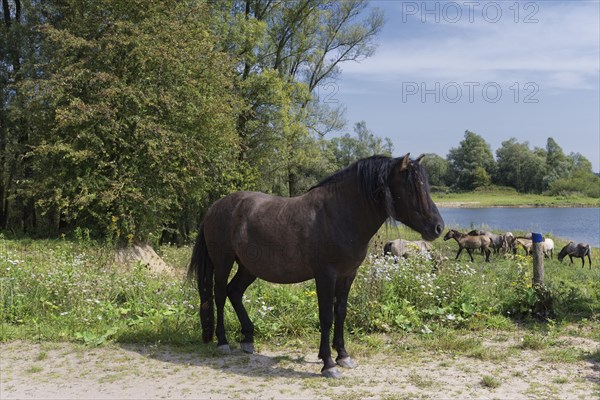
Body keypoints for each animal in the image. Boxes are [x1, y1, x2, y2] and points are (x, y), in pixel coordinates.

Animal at [189, 153, 446, 378]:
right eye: (411, 188)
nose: (438, 228)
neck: (340, 215)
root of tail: (214, 208)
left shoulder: (347, 275)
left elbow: (340, 312)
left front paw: (343, 356)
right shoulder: (325, 276)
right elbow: (326, 317)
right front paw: (328, 364)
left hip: (248, 267)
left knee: (234, 292)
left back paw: (248, 339)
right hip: (223, 261)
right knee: (220, 294)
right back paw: (223, 342)